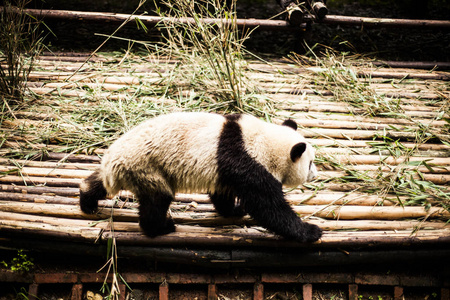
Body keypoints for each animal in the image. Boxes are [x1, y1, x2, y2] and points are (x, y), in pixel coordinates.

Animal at [79, 111, 322, 243]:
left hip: (127, 168)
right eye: (310, 162)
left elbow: (223, 193)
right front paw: (310, 231)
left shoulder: (226, 169)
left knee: (101, 182)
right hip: (147, 168)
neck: (262, 140)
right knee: (157, 200)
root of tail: (114, 164)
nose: (315, 173)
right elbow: (267, 207)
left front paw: (234, 209)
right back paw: (162, 227)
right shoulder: (247, 161)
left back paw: (87, 199)